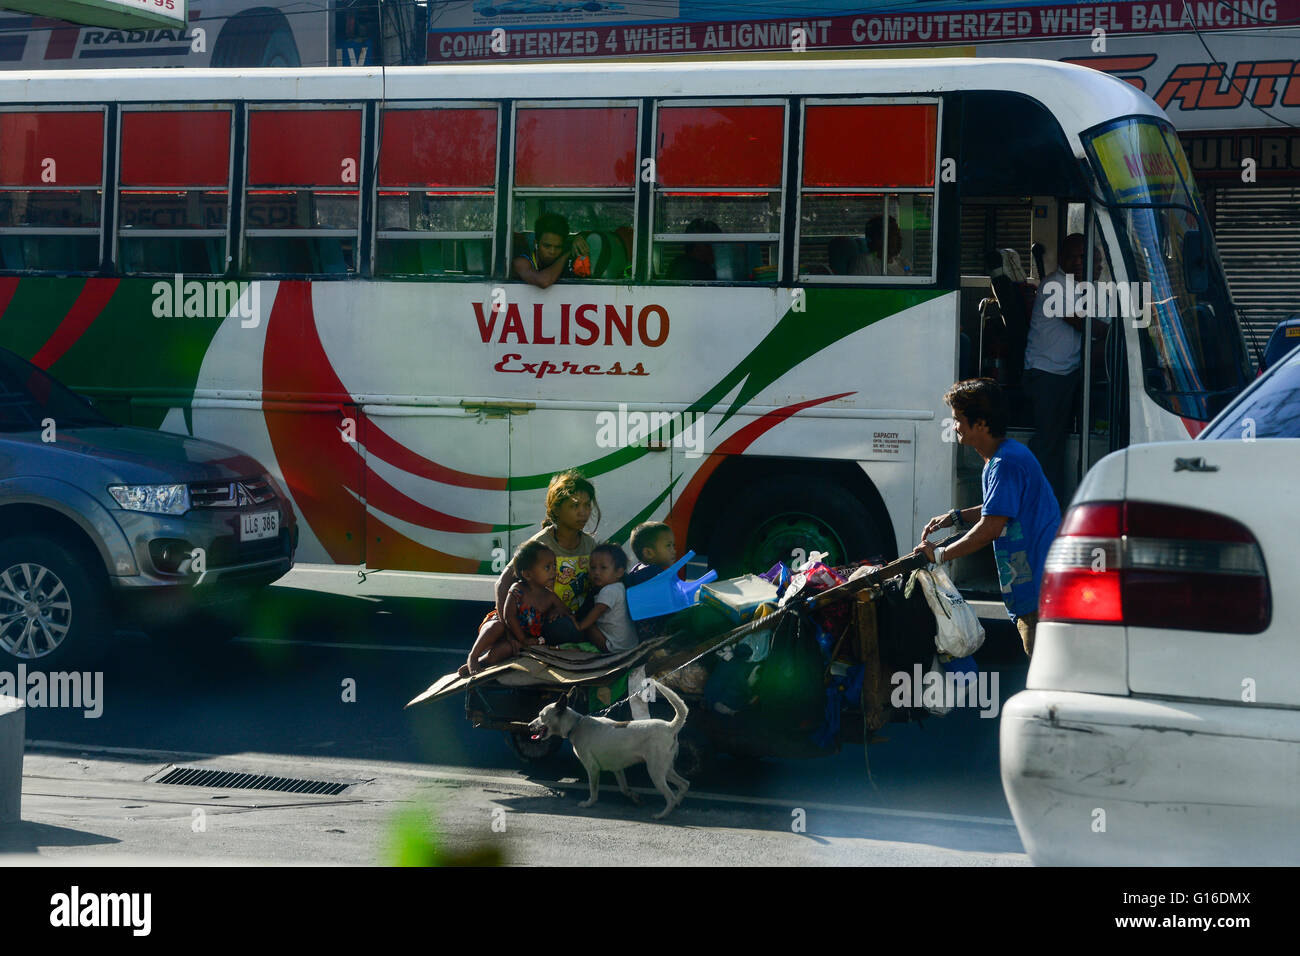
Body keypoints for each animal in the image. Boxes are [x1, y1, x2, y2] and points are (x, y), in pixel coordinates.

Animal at [527, 681, 691, 822]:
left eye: (541, 716)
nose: (529, 725)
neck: (575, 725)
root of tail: (670, 727)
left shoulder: (592, 768)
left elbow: (593, 789)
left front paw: (589, 803)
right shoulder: (617, 769)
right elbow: (624, 789)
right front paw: (635, 797)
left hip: (655, 771)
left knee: (670, 795)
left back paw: (662, 815)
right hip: (666, 769)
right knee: (684, 784)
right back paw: (677, 804)